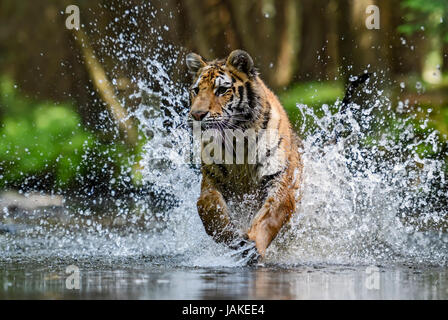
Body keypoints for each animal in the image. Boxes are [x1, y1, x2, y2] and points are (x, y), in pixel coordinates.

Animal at [184, 49, 302, 260]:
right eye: (196, 90)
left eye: (221, 90)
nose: (196, 115)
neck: (237, 141)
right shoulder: (211, 182)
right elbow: (209, 210)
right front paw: (232, 238)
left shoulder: (280, 182)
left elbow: (269, 217)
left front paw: (252, 246)